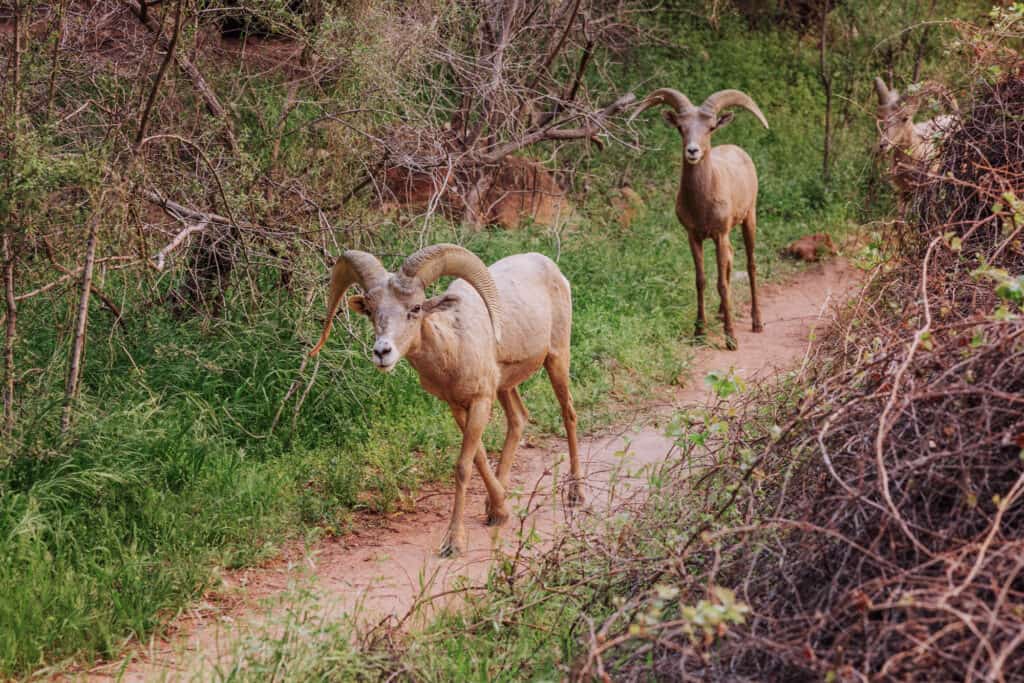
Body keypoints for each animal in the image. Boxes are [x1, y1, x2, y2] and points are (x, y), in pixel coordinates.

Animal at [308, 244, 581, 557]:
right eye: (371, 311)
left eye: (415, 308)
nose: (382, 352)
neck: (452, 346)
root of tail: (550, 267)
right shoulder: (458, 407)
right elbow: (479, 458)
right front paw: (499, 510)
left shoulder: (480, 402)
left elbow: (463, 467)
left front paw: (454, 543)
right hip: (505, 385)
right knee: (518, 419)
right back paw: (495, 503)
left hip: (557, 359)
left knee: (568, 414)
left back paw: (576, 495)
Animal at [629, 88, 769, 350]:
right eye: (681, 127)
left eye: (710, 127)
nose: (692, 151)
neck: (702, 203)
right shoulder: (694, 236)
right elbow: (701, 280)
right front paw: (699, 332)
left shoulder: (719, 234)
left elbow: (721, 284)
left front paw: (731, 339)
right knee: (731, 260)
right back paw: (722, 313)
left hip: (749, 219)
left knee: (751, 265)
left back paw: (757, 323)